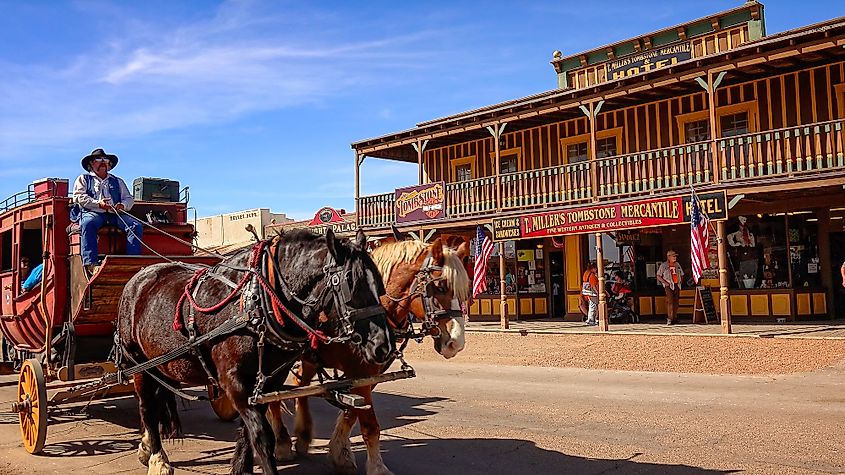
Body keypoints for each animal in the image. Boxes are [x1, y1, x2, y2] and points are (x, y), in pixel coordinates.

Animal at [118, 229, 396, 474]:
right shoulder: (234, 382)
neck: (258, 302)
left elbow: (247, 433)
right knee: (147, 407)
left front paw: (242, 468)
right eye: (351, 285)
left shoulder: (268, 382)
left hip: (160, 366)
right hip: (138, 365)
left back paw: (146, 448)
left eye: (379, 285)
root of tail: (139, 276)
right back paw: (157, 459)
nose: (383, 346)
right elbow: (262, 437)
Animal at [268, 236, 472, 474]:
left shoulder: (367, 375)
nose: (456, 342)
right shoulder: (360, 372)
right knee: (273, 397)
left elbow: (352, 411)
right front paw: (377, 467)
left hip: (309, 359)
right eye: (440, 286)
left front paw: (340, 453)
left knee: (300, 386)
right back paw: (282, 444)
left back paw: (302, 435)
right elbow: (370, 426)